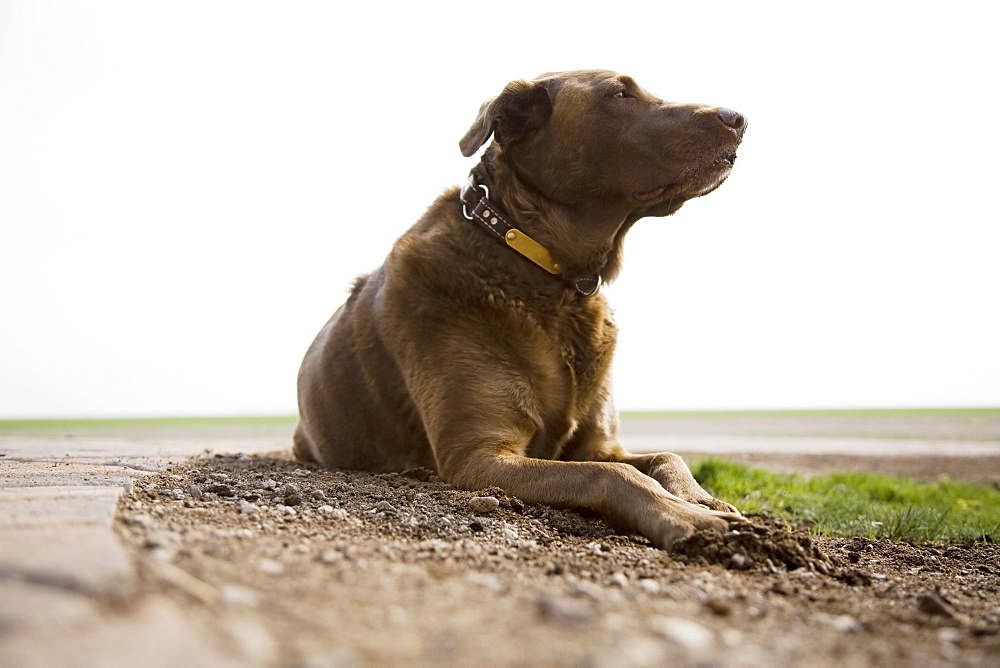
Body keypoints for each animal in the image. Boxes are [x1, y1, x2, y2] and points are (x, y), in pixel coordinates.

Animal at [296, 69, 752, 548]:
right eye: (619, 93)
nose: (739, 117)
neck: (552, 277)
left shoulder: (598, 442)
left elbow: (665, 456)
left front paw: (703, 499)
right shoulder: (478, 456)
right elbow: (611, 474)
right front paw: (690, 518)